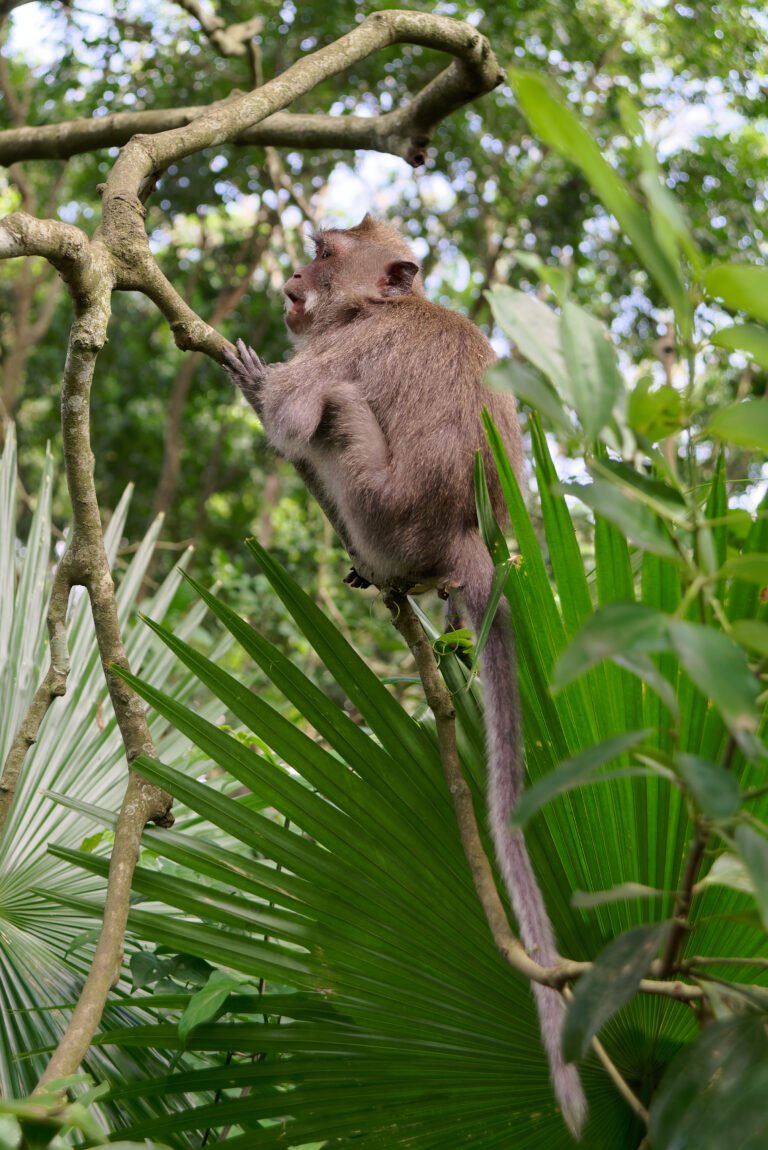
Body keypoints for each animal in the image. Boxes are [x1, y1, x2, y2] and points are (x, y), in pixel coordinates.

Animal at [222, 216, 587, 1136]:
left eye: (322, 252)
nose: (291, 278)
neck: (388, 307)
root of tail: (463, 539)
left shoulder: (344, 349)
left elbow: (295, 410)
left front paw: (256, 384)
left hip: (377, 506)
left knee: (337, 415)